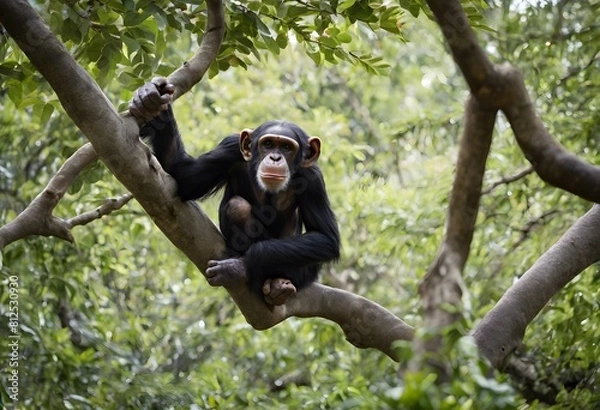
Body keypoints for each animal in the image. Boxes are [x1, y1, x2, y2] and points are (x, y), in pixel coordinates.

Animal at [129, 78, 340, 306]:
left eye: (286, 147)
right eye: (268, 144)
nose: (275, 158)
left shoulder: (313, 178)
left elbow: (325, 238)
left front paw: (239, 267)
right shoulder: (230, 148)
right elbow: (184, 177)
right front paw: (153, 102)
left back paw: (266, 282)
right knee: (237, 205)